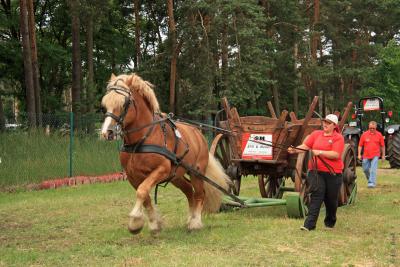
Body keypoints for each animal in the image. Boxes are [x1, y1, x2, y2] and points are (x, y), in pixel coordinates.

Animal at [101, 73, 230, 234]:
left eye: (124, 103)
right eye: (104, 104)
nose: (107, 132)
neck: (142, 139)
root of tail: (198, 133)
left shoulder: (162, 169)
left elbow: (142, 191)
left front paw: (135, 220)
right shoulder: (132, 175)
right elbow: (146, 197)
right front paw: (153, 223)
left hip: (196, 173)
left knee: (200, 194)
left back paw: (195, 222)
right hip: (176, 176)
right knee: (189, 191)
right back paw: (190, 219)